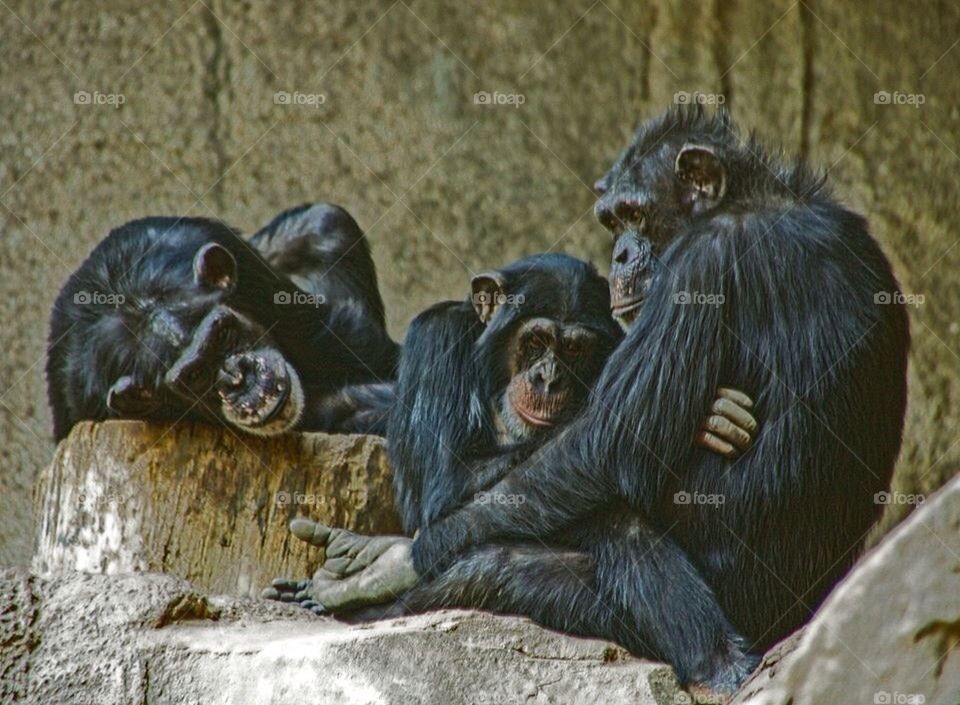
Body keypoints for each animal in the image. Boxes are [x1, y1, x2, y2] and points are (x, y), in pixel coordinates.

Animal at [262, 107, 908, 696]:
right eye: (613, 219)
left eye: (635, 213)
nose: (621, 254)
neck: (756, 201)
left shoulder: (699, 263)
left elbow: (603, 443)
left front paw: (397, 559)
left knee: (558, 535)